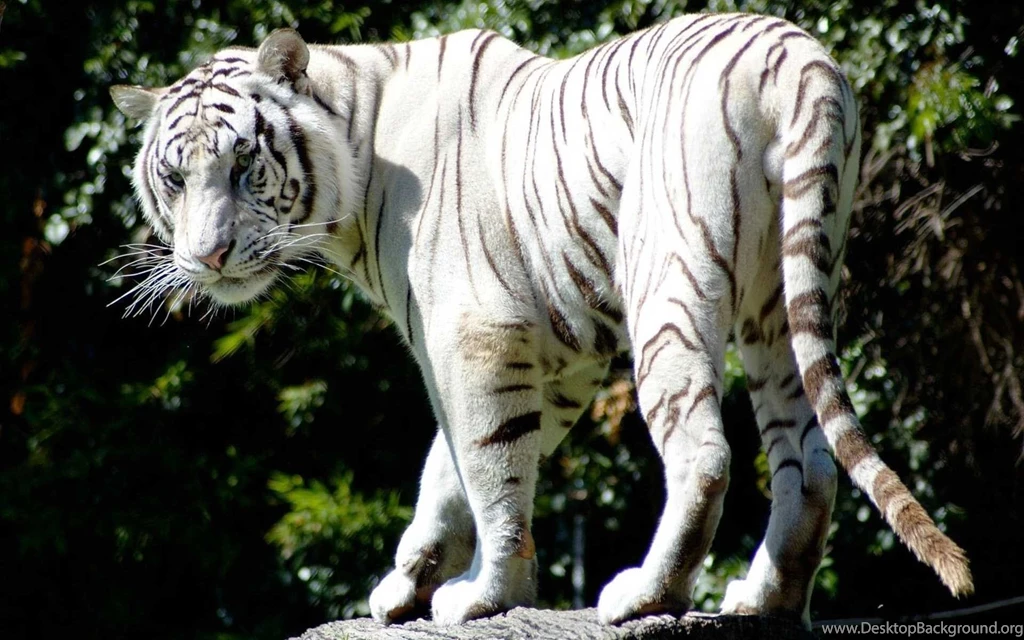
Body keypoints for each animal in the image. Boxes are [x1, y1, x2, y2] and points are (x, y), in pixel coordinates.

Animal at [111, 12, 973, 627]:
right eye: (176, 178)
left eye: (243, 165)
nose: (210, 255)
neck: (357, 149)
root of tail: (800, 59)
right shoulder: (562, 357)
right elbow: (447, 468)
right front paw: (407, 580)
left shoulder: (477, 335)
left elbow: (489, 468)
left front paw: (485, 595)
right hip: (780, 295)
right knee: (810, 458)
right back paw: (764, 599)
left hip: (669, 276)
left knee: (704, 453)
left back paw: (645, 595)